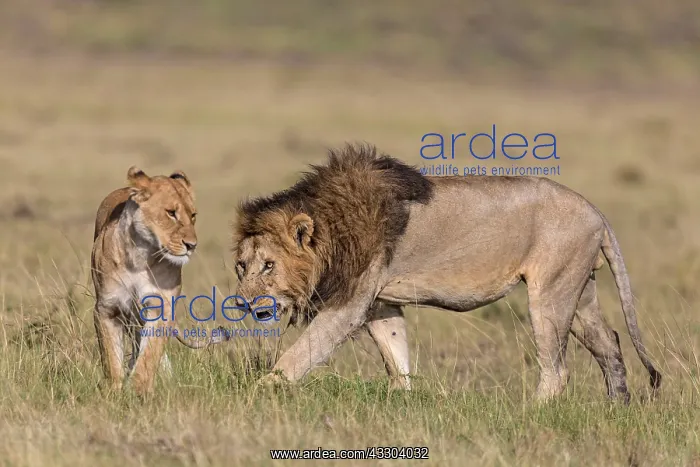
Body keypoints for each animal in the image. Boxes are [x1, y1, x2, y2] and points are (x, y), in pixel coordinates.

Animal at [91, 166, 226, 395]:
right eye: (171, 213)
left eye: (193, 215)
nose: (192, 245)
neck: (140, 257)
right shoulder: (107, 308)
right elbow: (110, 357)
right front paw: (115, 391)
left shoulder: (160, 308)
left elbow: (149, 355)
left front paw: (139, 390)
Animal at [231, 143, 661, 403]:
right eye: (241, 266)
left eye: (269, 265)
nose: (243, 305)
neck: (332, 228)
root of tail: (595, 211)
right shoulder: (379, 302)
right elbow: (396, 354)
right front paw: (402, 398)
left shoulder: (348, 305)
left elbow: (300, 354)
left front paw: (258, 392)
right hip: (580, 289)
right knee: (609, 343)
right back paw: (618, 408)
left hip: (551, 293)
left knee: (556, 370)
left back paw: (529, 412)